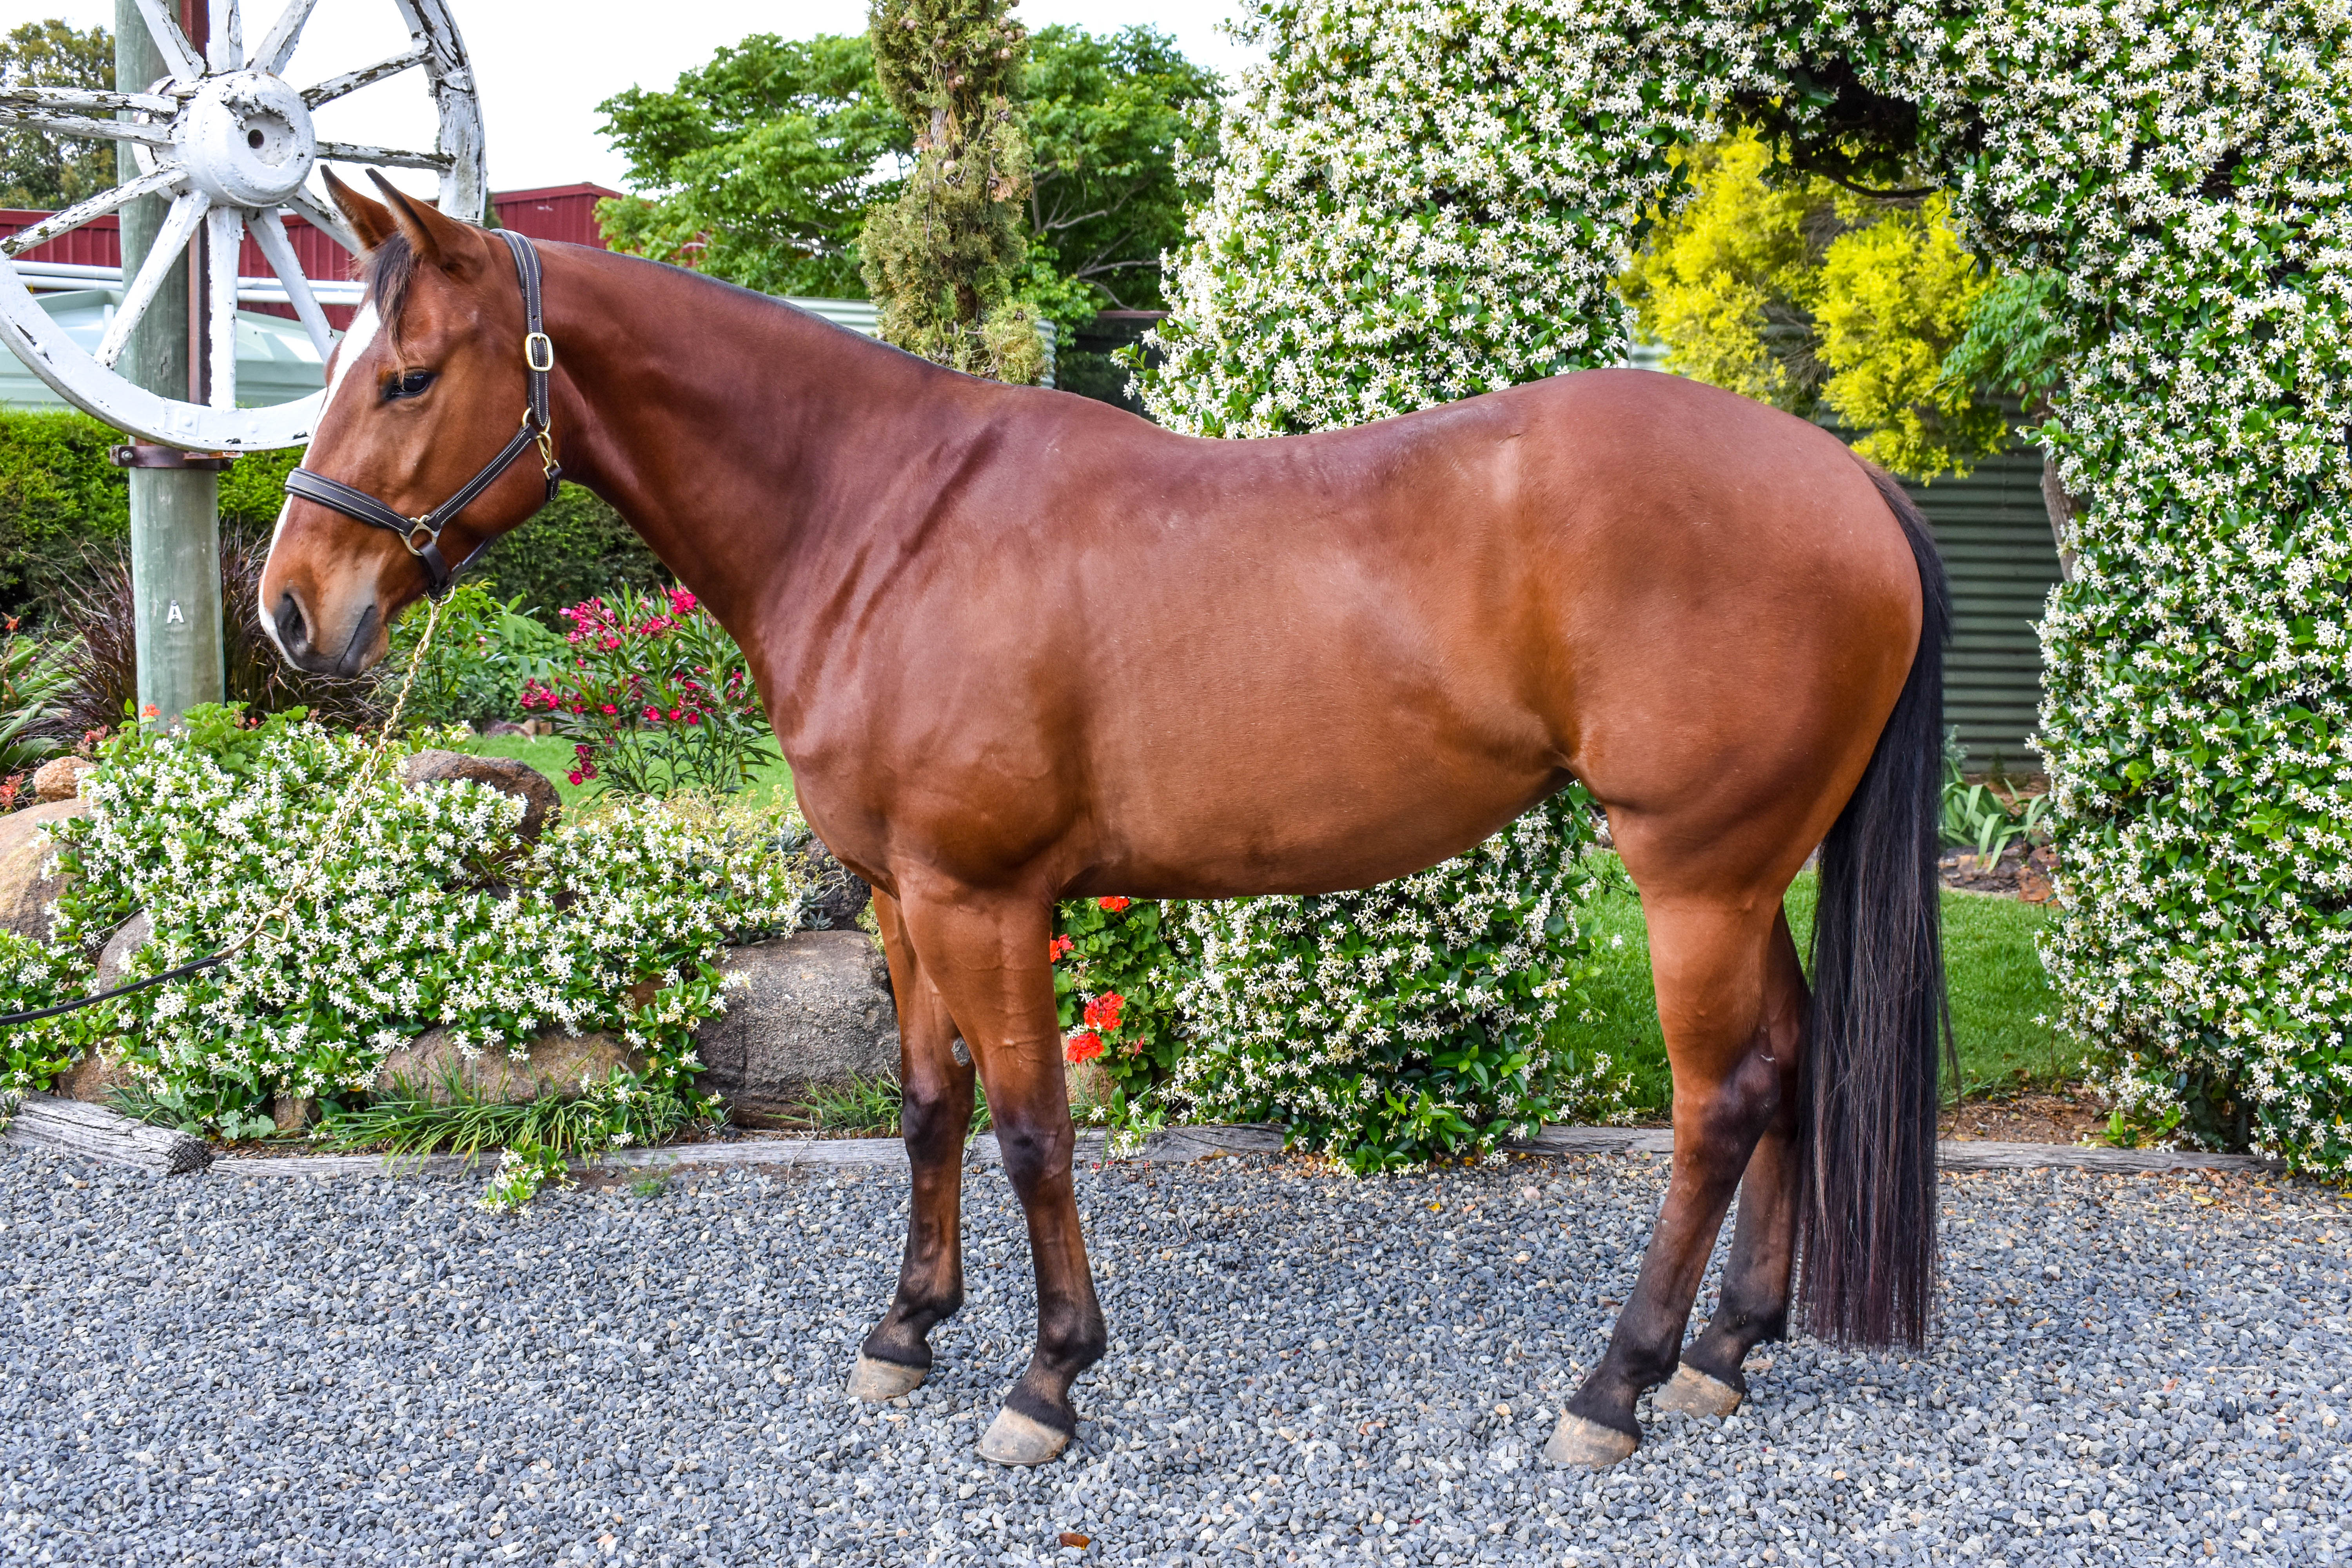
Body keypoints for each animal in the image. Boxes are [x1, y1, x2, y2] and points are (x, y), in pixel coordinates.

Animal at [260, 171, 1949, 1471]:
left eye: (409, 376)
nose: (289, 612)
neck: (882, 520)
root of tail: (1848, 480)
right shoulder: (902, 894)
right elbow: (928, 1107)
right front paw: (906, 1330)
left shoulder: (987, 897)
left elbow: (1029, 1130)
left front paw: (1048, 1378)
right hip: (1748, 875)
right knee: (1788, 1069)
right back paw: (1727, 1350)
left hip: (1693, 876)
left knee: (1717, 1103)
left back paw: (1619, 1382)